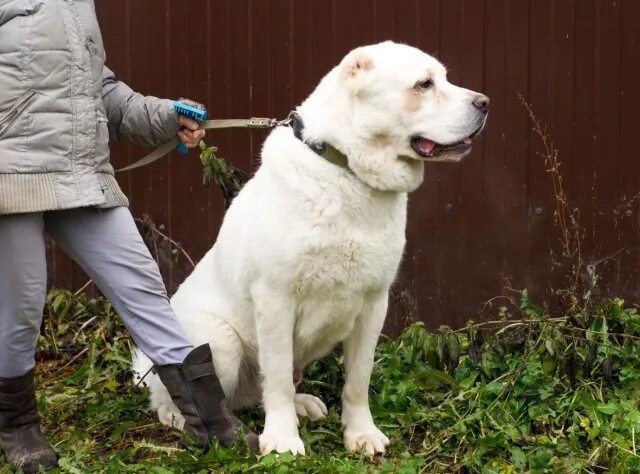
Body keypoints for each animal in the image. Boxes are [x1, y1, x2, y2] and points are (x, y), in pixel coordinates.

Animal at [132, 39, 488, 456]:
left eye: (444, 79)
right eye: (424, 84)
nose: (484, 102)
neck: (346, 170)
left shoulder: (374, 303)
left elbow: (357, 380)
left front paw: (360, 433)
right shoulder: (275, 300)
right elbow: (278, 379)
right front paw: (283, 441)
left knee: (253, 393)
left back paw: (302, 405)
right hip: (221, 343)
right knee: (185, 395)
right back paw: (185, 420)